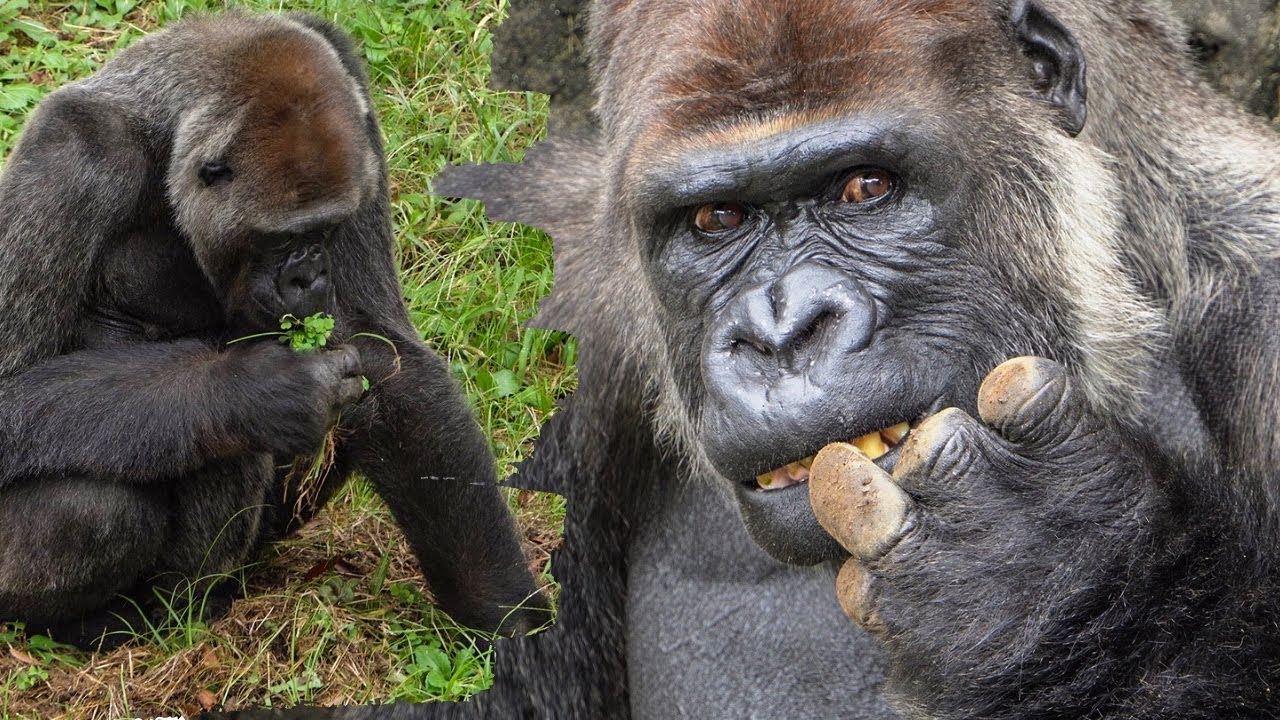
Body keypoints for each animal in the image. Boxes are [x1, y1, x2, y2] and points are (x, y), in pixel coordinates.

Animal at [0, 11, 548, 650]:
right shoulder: (71, 156)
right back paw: (133, 616)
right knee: (95, 506)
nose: (309, 277)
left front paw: (511, 620)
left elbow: (384, 360)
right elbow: (13, 392)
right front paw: (253, 390)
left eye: (327, 229)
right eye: (281, 238)